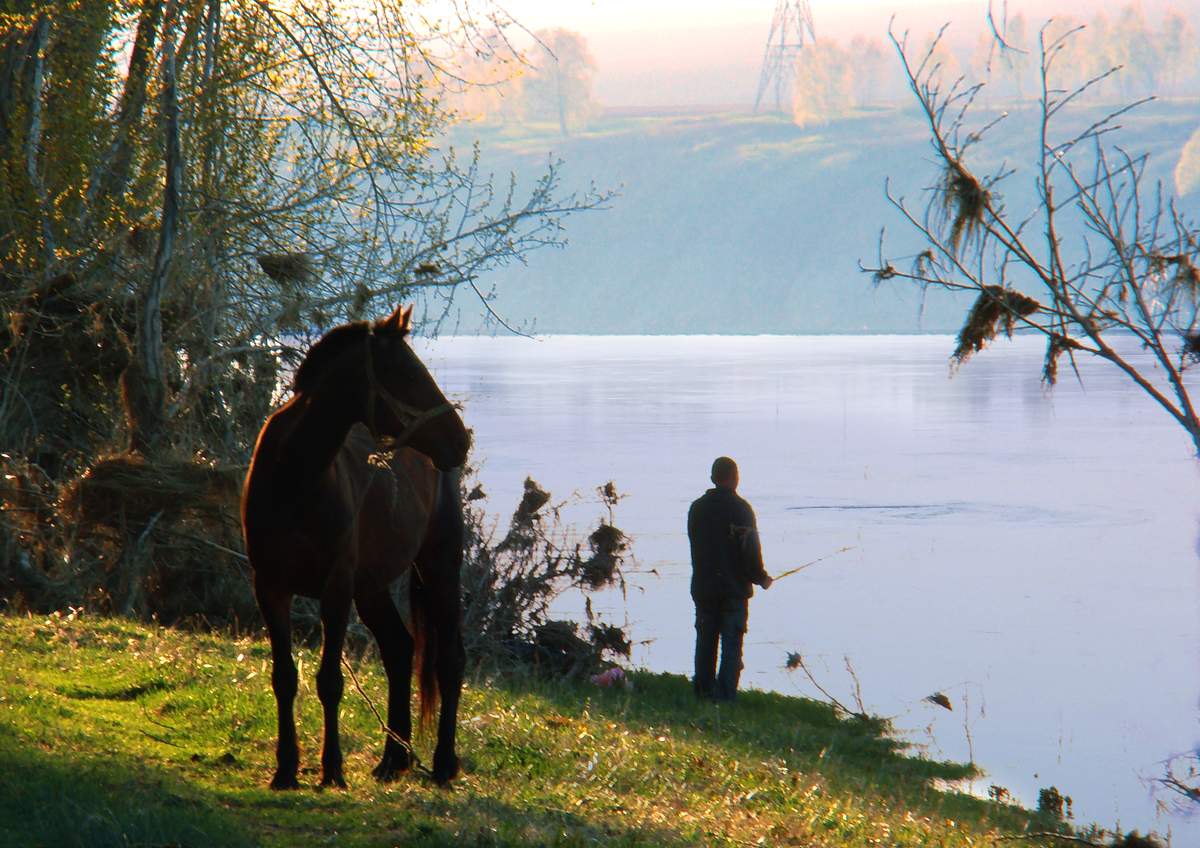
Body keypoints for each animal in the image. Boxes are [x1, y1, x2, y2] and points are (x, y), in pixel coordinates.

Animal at [241, 304, 470, 791]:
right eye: (407, 374)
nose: (460, 439)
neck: (295, 477)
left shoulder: (336, 587)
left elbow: (329, 681)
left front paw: (332, 769)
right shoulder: (269, 585)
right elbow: (284, 677)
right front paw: (286, 769)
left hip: (439, 566)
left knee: (449, 660)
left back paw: (443, 763)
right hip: (372, 585)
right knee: (400, 650)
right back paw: (393, 759)